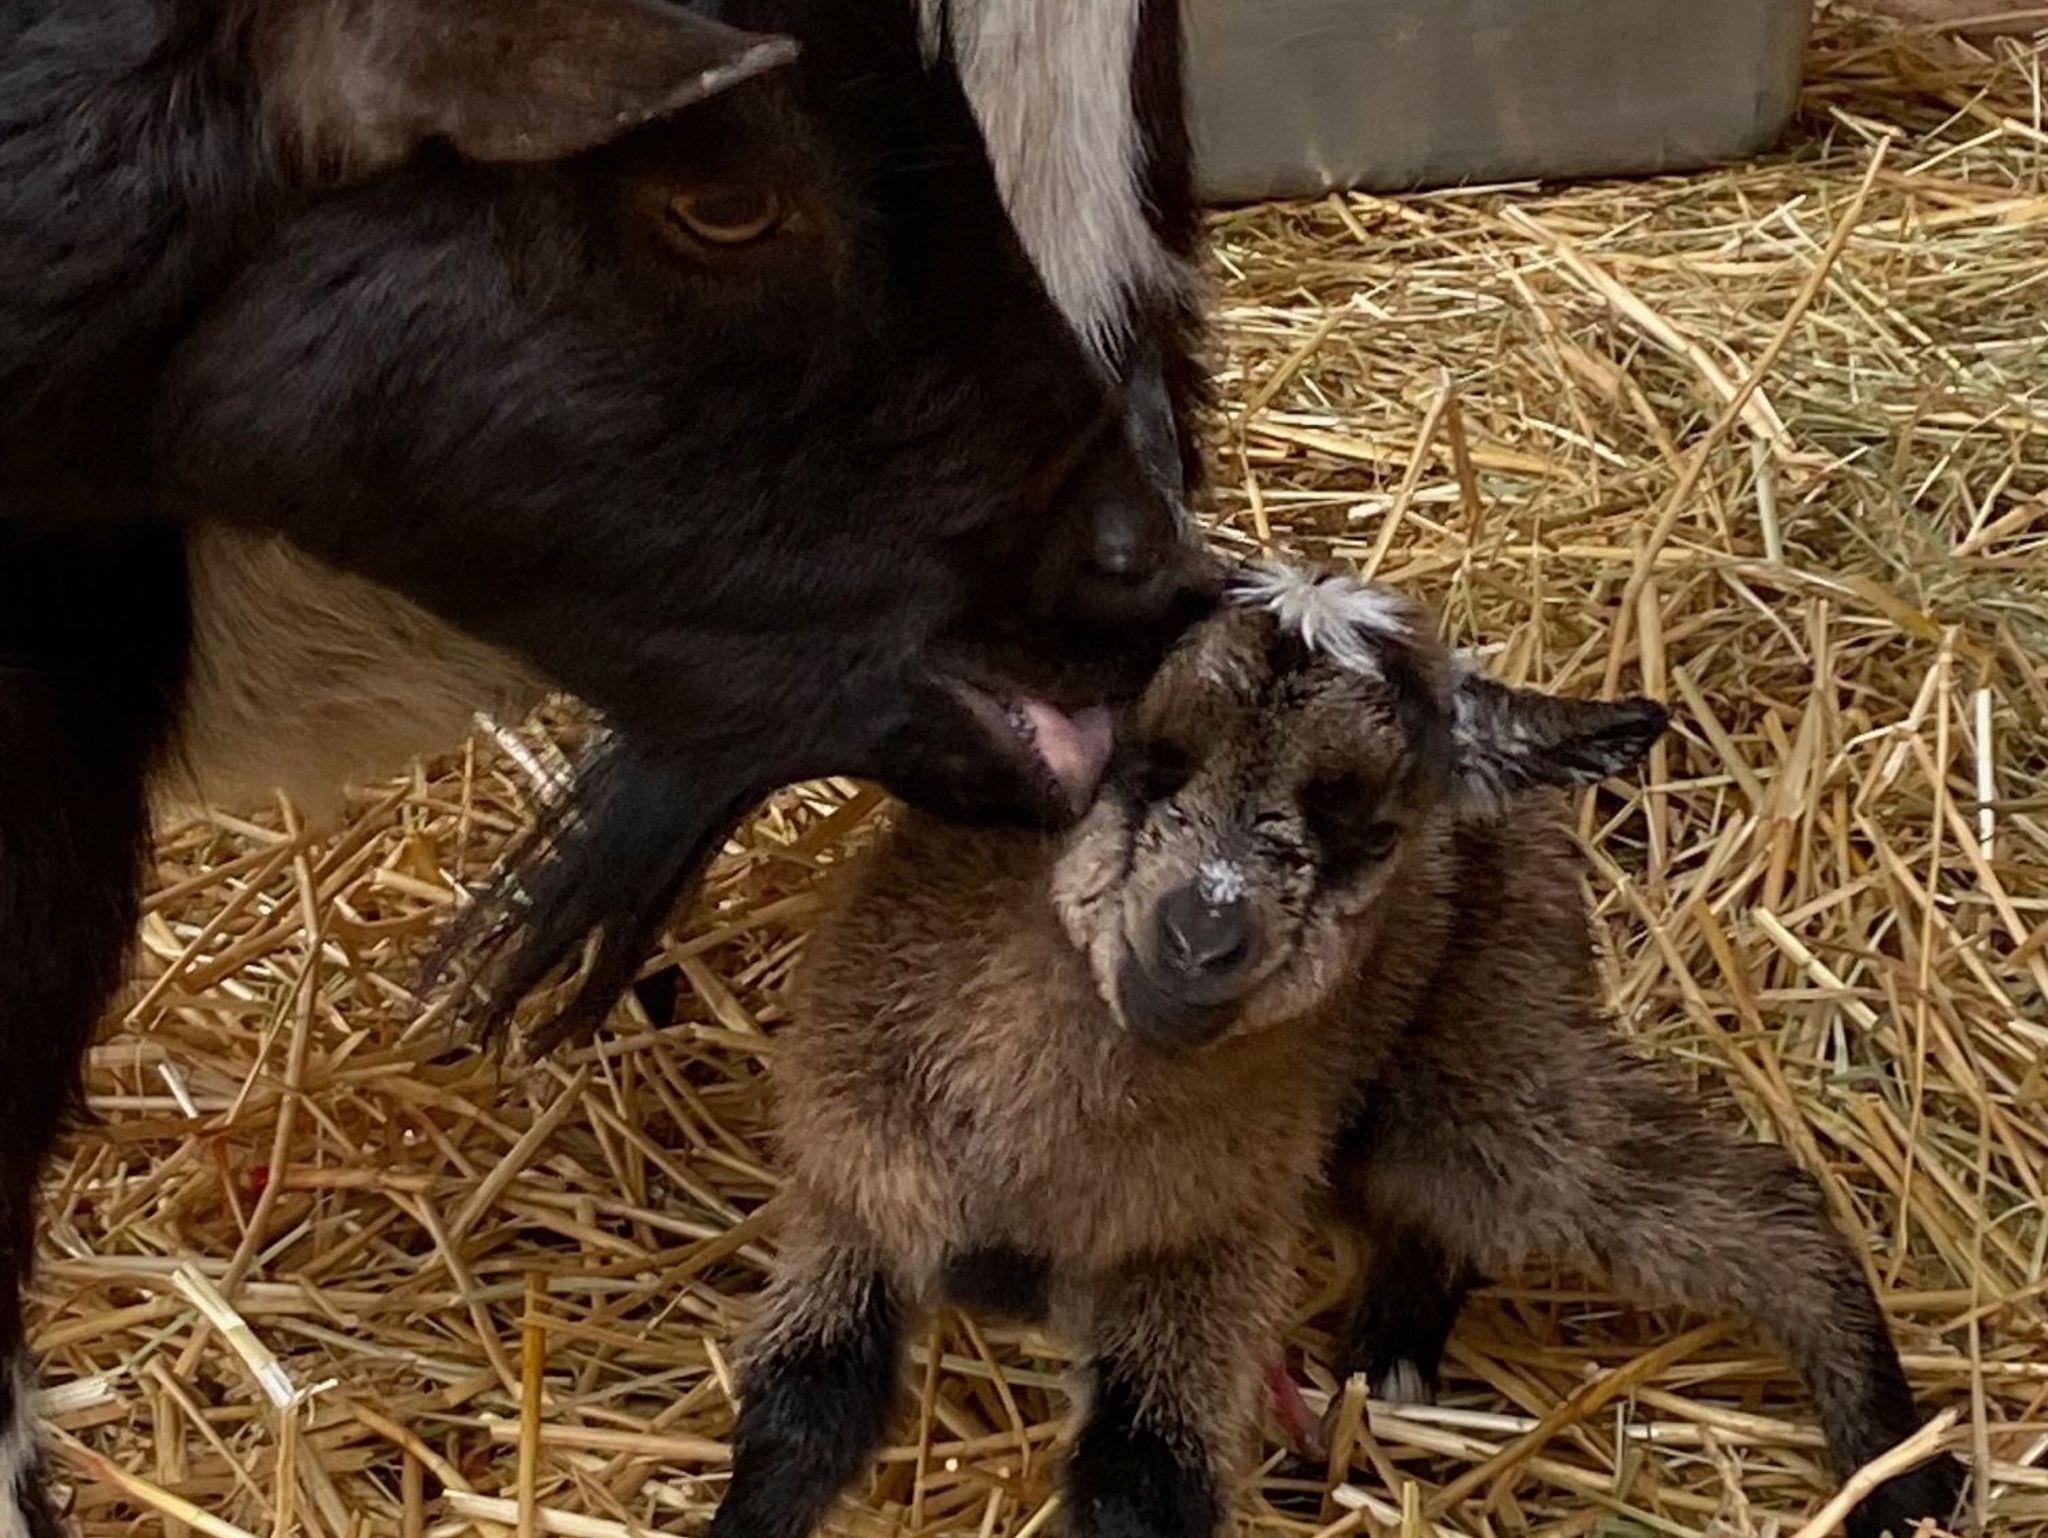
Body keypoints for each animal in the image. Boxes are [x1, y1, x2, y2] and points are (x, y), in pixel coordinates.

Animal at [714, 562, 1965, 1538]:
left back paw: (1898, 1462)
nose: (1199, 936)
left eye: (1365, 827)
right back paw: (1390, 1346)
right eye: (1147, 761)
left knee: (1731, 1196)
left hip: (1483, 1032)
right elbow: (798, 1416)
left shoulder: (1205, 1245)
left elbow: (1140, 1482)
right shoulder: (854, 1184)